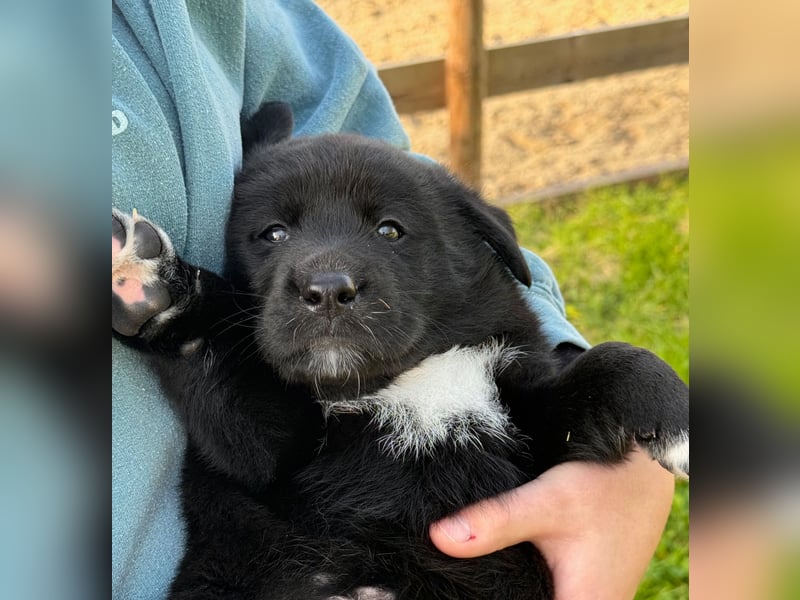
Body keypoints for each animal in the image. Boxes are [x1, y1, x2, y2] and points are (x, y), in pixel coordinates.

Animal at [111, 103, 688, 600]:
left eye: (390, 230)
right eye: (273, 234)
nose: (327, 290)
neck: (404, 381)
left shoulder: (535, 425)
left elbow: (614, 362)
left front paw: (678, 422)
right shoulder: (265, 455)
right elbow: (224, 378)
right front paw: (161, 286)